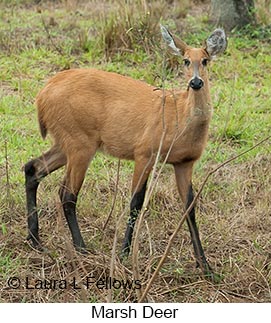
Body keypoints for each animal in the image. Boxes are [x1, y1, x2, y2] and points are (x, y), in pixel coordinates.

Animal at [24, 25, 227, 280]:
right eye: (186, 60)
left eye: (206, 60)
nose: (196, 82)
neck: (179, 119)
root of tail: (42, 95)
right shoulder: (145, 153)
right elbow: (136, 201)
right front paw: (124, 253)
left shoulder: (185, 162)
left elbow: (189, 207)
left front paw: (206, 267)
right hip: (80, 143)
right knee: (66, 193)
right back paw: (82, 248)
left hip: (66, 142)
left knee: (32, 168)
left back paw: (35, 240)